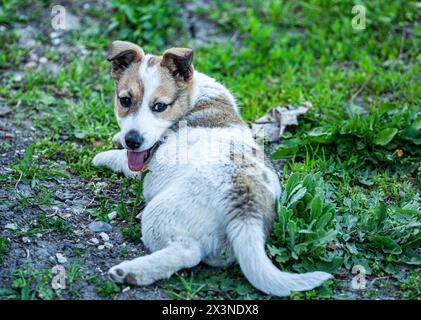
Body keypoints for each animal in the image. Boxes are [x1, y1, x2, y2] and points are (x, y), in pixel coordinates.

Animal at [92, 40, 332, 298]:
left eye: (159, 106)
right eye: (125, 101)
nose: (133, 141)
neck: (194, 97)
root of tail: (244, 204)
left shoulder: (143, 165)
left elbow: (121, 160)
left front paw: (102, 156)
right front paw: (118, 138)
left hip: (160, 213)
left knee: (188, 252)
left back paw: (130, 272)